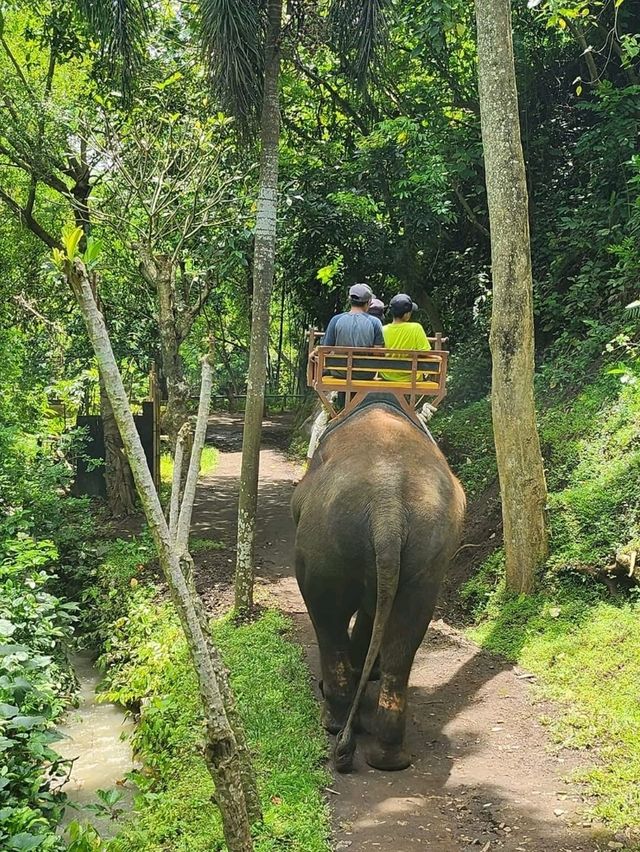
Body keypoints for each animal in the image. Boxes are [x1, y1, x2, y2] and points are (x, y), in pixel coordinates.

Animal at [290, 400, 464, 772]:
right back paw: (388, 757)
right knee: (406, 632)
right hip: (427, 553)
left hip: (325, 543)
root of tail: (388, 504)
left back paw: (336, 722)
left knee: (326, 618)